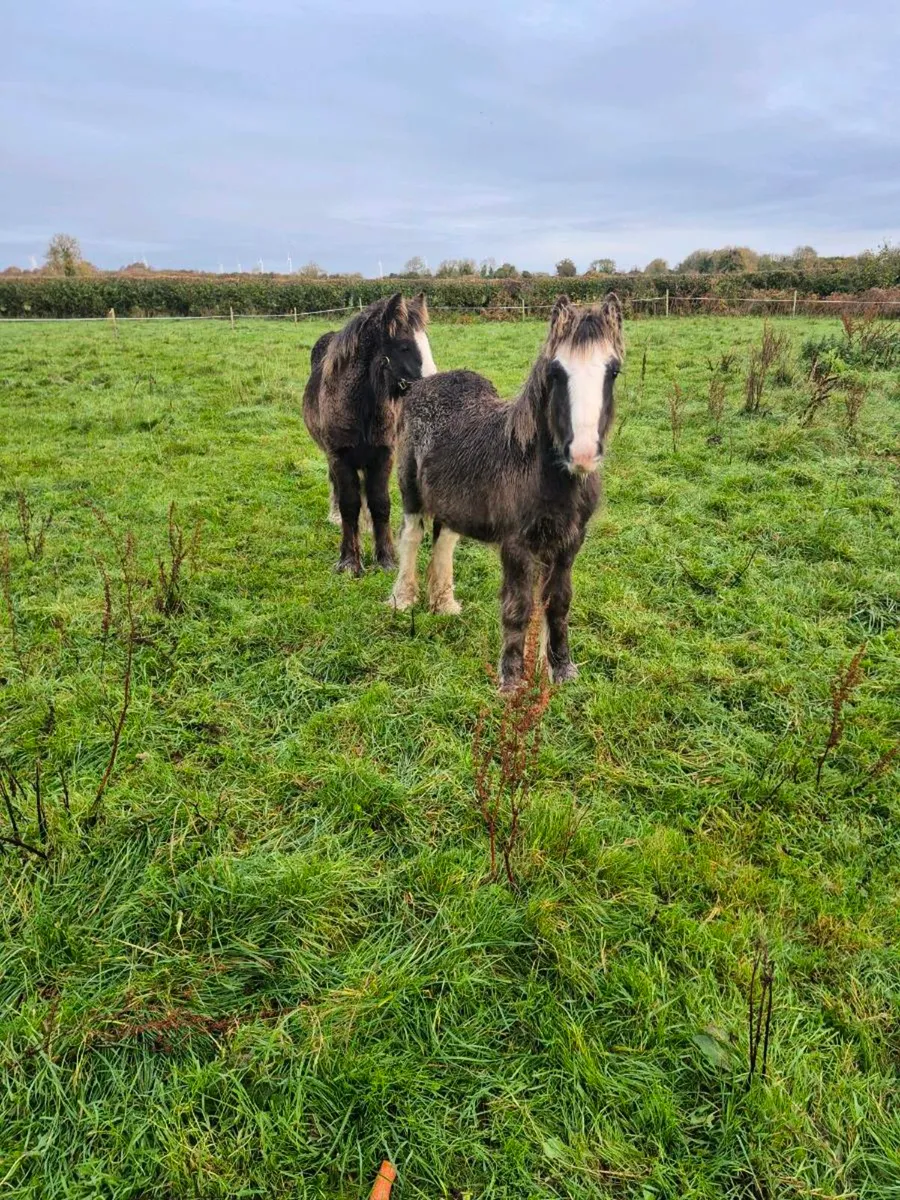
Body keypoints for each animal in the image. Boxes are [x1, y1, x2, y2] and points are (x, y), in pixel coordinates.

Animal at [303, 292, 437, 575]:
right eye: (404, 347)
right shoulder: (339, 456)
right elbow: (349, 504)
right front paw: (349, 561)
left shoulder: (383, 456)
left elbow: (379, 503)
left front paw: (385, 558)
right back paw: (335, 517)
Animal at [389, 293, 623, 691]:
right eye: (556, 372)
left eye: (614, 370)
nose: (582, 454)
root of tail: (427, 382)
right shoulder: (516, 545)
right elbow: (518, 608)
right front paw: (511, 681)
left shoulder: (570, 542)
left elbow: (558, 603)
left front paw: (561, 669)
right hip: (411, 491)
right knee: (411, 536)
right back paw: (402, 599)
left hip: (453, 502)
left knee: (443, 541)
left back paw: (444, 604)